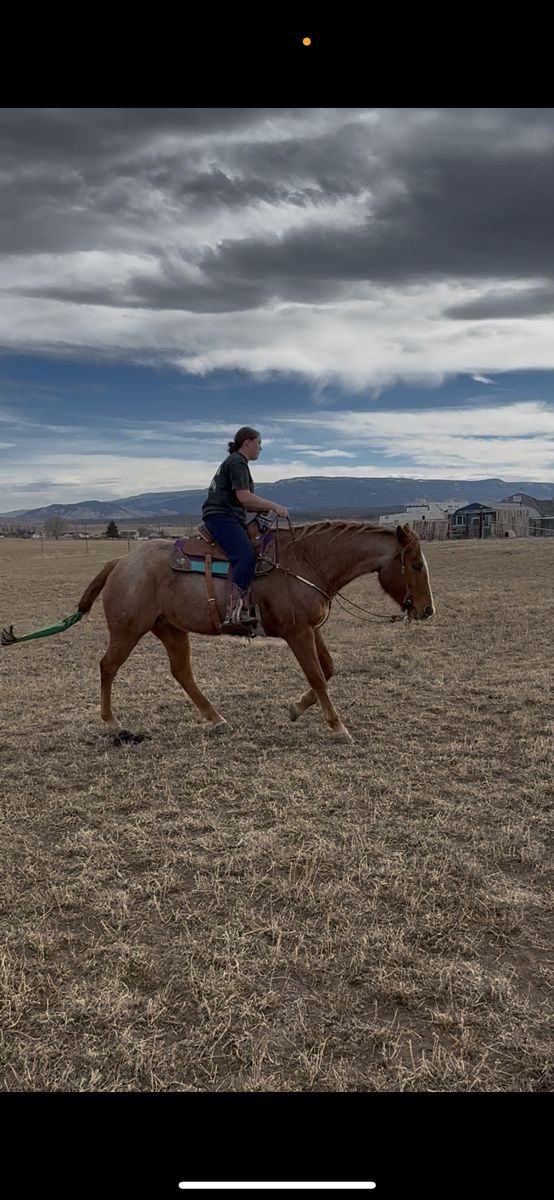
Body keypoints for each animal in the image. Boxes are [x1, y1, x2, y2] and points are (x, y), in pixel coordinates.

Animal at [72, 520, 435, 744]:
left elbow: (329, 669)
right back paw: (111, 722)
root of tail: (120, 562)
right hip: (128, 630)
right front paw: (338, 727)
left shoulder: (310, 629)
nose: (427, 610)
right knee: (108, 667)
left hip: (170, 629)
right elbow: (317, 676)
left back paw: (216, 719)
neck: (306, 563)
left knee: (182, 672)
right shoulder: (298, 634)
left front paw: (296, 708)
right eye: (416, 565)